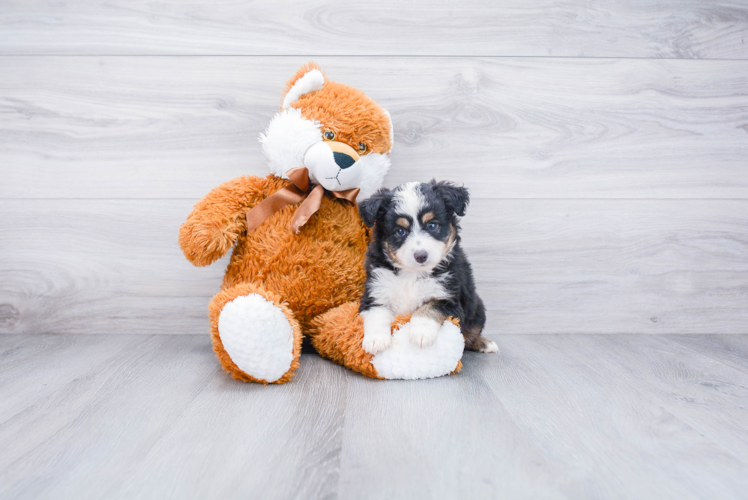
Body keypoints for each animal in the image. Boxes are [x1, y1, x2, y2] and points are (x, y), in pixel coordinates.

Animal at [356, 180, 496, 356]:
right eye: (400, 231)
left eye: (432, 225)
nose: (421, 256)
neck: (411, 273)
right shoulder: (375, 292)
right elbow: (377, 314)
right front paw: (376, 341)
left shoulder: (449, 299)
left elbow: (428, 308)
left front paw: (420, 333)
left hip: (477, 307)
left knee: (470, 334)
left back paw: (484, 343)